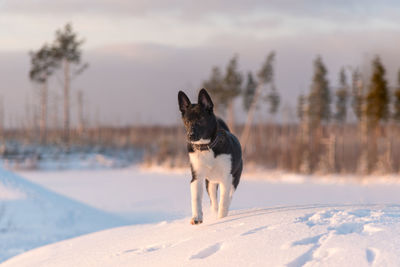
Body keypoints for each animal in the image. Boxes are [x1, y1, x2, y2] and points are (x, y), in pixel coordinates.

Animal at [179, 89, 244, 225]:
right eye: (187, 122)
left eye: (201, 120)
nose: (190, 136)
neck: (206, 147)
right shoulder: (197, 177)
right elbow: (196, 199)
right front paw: (197, 217)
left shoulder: (226, 177)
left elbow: (224, 200)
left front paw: (222, 218)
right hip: (210, 183)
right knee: (213, 200)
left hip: (235, 178)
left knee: (229, 196)